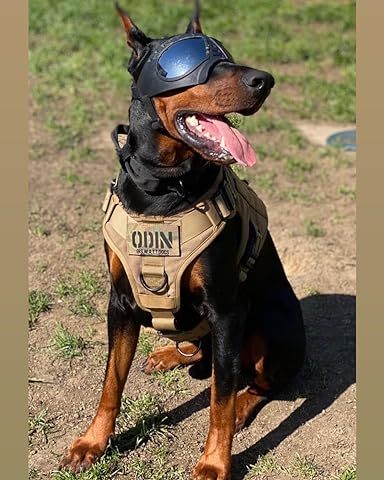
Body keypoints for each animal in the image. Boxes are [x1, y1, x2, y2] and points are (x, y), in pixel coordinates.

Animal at [60, 3, 306, 480]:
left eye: (229, 55)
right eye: (186, 62)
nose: (264, 80)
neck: (163, 189)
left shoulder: (228, 310)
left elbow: (219, 400)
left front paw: (214, 462)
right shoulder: (119, 302)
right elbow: (110, 382)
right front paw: (92, 442)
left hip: (268, 327)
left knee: (258, 381)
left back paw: (244, 404)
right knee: (200, 352)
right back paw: (171, 354)